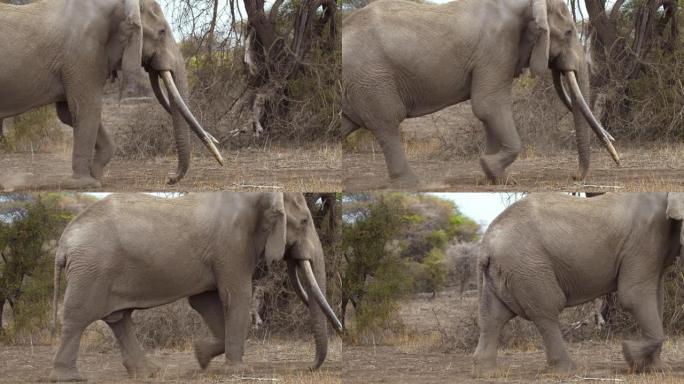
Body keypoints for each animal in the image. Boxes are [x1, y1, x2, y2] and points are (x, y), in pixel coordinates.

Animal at [0, 0, 224, 189]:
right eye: (161, 32)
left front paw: (97, 174)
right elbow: (86, 109)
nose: (170, 178)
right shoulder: (83, 54)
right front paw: (85, 184)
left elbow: (68, 114)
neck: (121, 5)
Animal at [49, 192, 342, 380]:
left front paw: (201, 356)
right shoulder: (232, 245)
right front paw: (238, 372)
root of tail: (64, 242)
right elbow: (237, 297)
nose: (310, 368)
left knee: (119, 319)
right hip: (91, 270)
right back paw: (68, 377)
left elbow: (205, 301)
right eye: (304, 222)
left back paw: (150, 373)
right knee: (79, 317)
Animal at [342, 0, 620, 186]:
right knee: (387, 122)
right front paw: (492, 169)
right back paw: (414, 184)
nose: (575, 177)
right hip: (373, 79)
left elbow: (489, 112)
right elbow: (489, 105)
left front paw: (495, 176)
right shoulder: (497, 49)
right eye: (569, 33)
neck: (529, 4)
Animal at [472, 192, 680, 376]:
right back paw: (567, 370)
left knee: (493, 316)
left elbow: (656, 297)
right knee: (546, 311)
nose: (626, 345)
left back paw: (486, 372)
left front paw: (655, 368)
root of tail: (486, 245)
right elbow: (633, 296)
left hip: (504, 271)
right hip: (528, 266)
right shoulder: (644, 239)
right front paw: (630, 353)